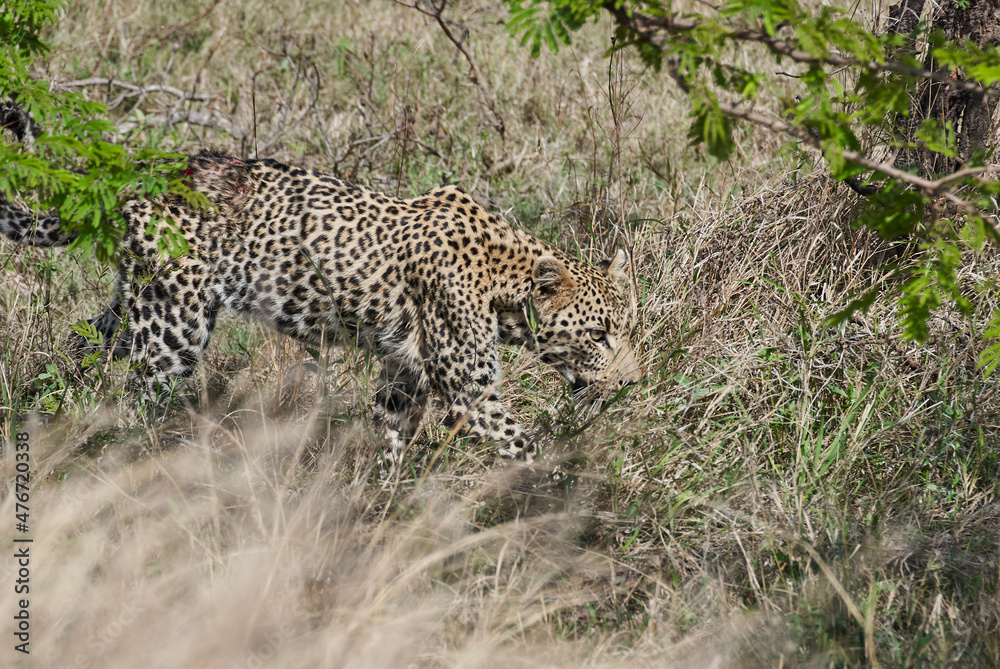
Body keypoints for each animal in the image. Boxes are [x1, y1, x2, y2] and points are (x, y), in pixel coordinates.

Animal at [0, 149, 641, 463]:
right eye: (600, 334)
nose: (632, 382)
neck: (503, 281)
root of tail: (136, 176)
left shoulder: (402, 373)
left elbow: (392, 439)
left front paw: (384, 504)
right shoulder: (468, 390)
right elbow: (525, 446)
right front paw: (572, 502)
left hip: (133, 303)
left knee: (83, 347)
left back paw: (53, 422)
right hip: (173, 325)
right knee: (138, 398)